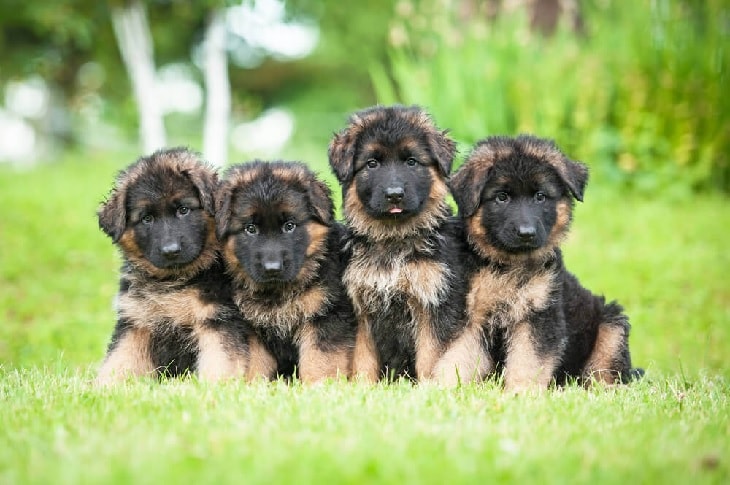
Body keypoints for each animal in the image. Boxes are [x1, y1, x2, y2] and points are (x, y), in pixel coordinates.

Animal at [96, 146, 252, 384]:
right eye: (147, 219)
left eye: (183, 210)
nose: (171, 251)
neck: (173, 281)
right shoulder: (135, 322)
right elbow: (118, 360)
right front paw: (99, 387)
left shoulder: (216, 319)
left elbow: (220, 361)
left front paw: (216, 386)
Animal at [213, 162, 356, 382]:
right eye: (250, 229)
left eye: (290, 226)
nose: (272, 268)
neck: (278, 292)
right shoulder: (252, 329)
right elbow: (255, 364)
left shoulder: (326, 316)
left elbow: (320, 361)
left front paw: (319, 385)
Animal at [328, 105, 470, 382]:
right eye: (372, 163)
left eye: (411, 162)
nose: (394, 194)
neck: (394, 239)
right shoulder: (361, 308)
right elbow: (363, 359)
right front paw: (362, 387)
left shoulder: (432, 304)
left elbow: (430, 356)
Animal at [446, 134, 636, 392]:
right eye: (501, 197)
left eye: (540, 196)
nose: (526, 233)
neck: (509, 265)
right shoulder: (471, 316)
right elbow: (457, 354)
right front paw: (442, 386)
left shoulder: (538, 317)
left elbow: (528, 359)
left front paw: (520, 391)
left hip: (611, 326)